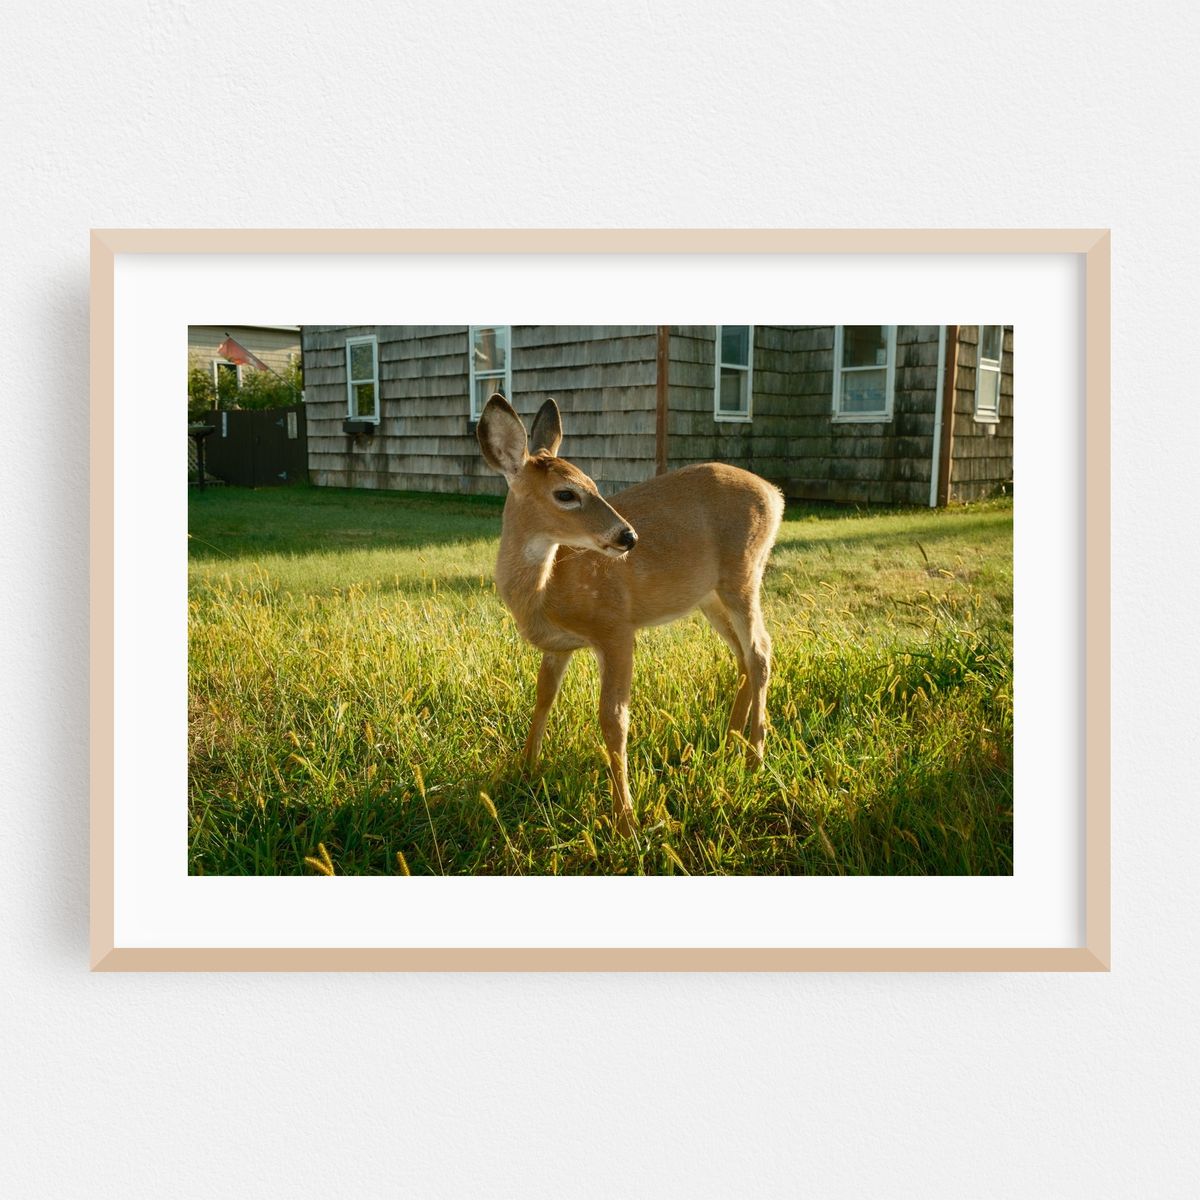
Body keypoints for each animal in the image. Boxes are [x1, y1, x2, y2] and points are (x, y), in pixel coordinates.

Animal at [477, 394, 784, 835]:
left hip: (742, 574)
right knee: (743, 655)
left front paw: (626, 821)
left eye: (594, 485)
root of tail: (775, 495)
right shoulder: (559, 646)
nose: (628, 536)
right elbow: (542, 699)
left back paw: (754, 757)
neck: (546, 589)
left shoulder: (616, 628)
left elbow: (613, 719)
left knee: (760, 650)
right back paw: (729, 742)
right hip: (708, 597)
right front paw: (526, 770)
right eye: (566, 494)